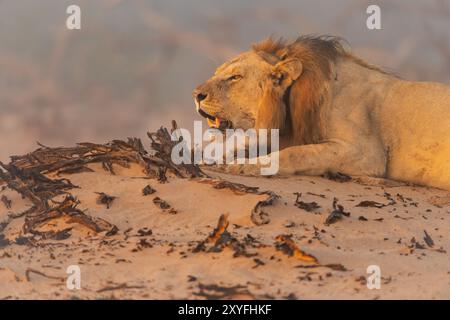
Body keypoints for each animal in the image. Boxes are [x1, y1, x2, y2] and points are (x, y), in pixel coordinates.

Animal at [192, 35, 450, 190]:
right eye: (217, 73)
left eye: (235, 77)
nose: (196, 94)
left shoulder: (367, 153)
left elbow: (297, 154)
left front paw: (247, 166)